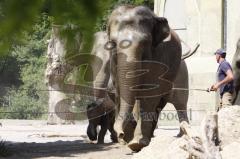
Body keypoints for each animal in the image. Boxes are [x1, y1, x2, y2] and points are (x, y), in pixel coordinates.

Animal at [106, 5, 192, 152]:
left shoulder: (159, 56)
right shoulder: (113, 62)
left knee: (178, 103)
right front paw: (128, 139)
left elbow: (149, 93)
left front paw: (136, 143)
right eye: (113, 43)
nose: (120, 134)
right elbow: (119, 91)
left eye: (145, 43)